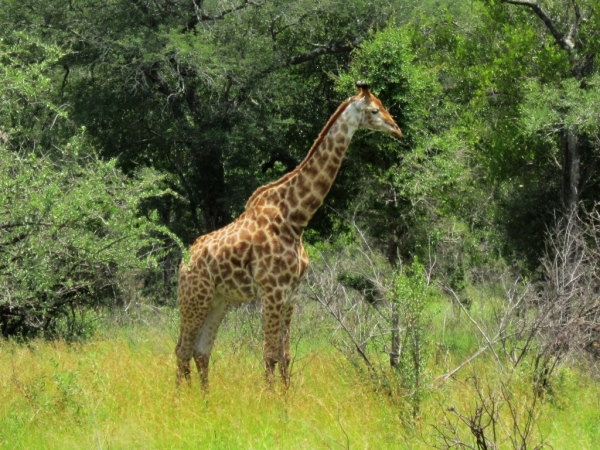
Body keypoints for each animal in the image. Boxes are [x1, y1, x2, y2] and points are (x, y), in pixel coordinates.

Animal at [176, 81, 400, 390]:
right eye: (374, 110)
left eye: (382, 105)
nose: (397, 129)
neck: (295, 218)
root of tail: (183, 263)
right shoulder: (271, 290)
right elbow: (269, 354)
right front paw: (270, 399)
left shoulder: (291, 293)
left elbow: (285, 354)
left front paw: (285, 397)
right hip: (194, 296)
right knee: (181, 350)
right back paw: (182, 399)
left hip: (219, 299)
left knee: (200, 350)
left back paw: (205, 398)